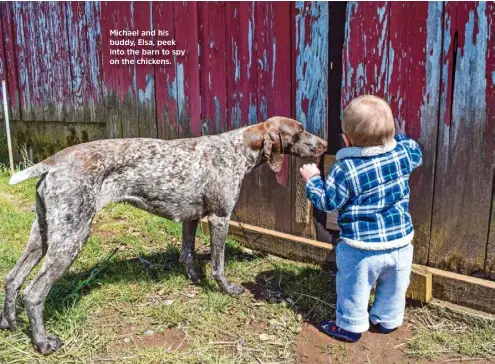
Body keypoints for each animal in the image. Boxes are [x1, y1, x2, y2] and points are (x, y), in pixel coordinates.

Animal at [1, 116, 328, 352]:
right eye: (300, 131)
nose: (325, 145)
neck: (237, 149)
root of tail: (53, 162)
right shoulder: (219, 219)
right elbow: (219, 265)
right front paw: (226, 289)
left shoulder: (191, 219)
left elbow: (188, 255)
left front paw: (195, 280)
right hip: (71, 237)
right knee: (33, 293)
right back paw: (43, 343)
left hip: (43, 235)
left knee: (12, 278)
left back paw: (9, 323)